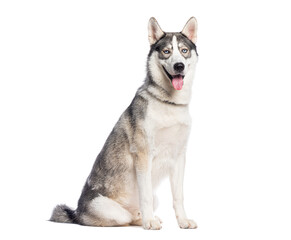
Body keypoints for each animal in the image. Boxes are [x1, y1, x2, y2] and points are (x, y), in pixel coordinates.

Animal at [51, 17, 200, 231]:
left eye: (184, 50)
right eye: (166, 51)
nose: (179, 66)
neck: (169, 103)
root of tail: (76, 214)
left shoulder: (179, 157)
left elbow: (178, 196)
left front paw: (183, 221)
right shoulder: (144, 155)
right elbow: (145, 196)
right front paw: (150, 223)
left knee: (135, 213)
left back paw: (145, 218)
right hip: (109, 209)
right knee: (125, 217)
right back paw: (146, 219)